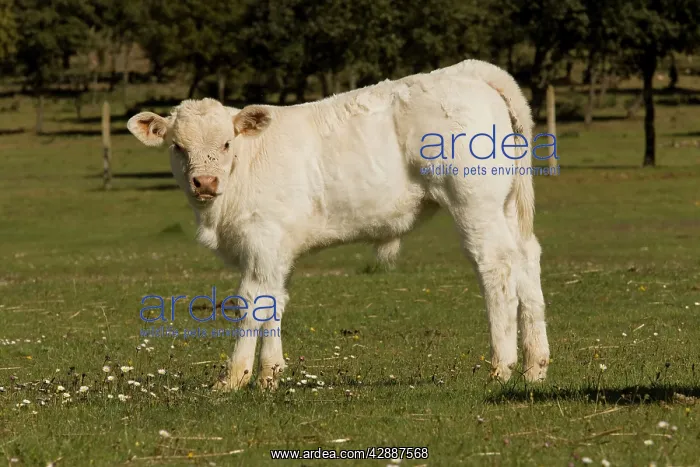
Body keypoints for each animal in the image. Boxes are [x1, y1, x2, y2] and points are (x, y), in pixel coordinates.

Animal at [127, 59, 550, 391]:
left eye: (227, 143)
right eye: (177, 146)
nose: (205, 182)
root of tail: (469, 71)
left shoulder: (261, 241)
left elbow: (252, 303)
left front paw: (233, 379)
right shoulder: (277, 250)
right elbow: (275, 301)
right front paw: (269, 375)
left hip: (474, 202)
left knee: (496, 267)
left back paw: (501, 367)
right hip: (504, 204)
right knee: (526, 259)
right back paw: (535, 367)